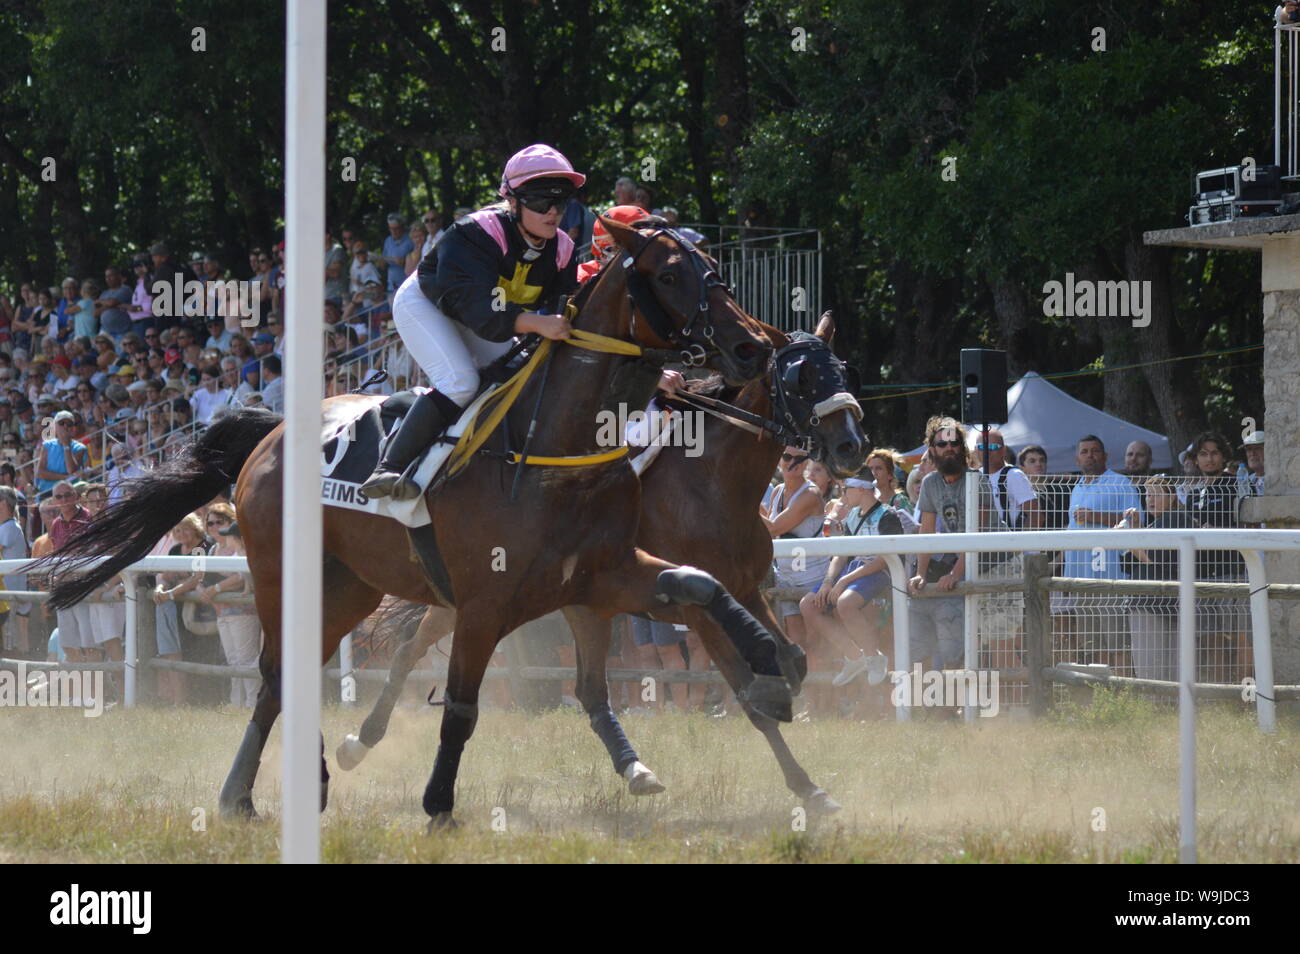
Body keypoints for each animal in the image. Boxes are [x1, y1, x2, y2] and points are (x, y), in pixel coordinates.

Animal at [41, 217, 789, 828]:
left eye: (714, 268)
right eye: (669, 274)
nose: (754, 348)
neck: (556, 442)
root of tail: (269, 432)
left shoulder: (603, 575)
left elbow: (701, 585)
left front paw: (774, 667)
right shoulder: (485, 602)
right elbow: (460, 706)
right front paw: (438, 804)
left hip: (351, 586)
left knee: (292, 675)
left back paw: (287, 785)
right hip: (283, 575)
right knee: (279, 675)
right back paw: (247, 795)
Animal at [336, 312, 867, 813]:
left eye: (843, 370)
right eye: (801, 378)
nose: (852, 446)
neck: (711, 481)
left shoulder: (747, 591)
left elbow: (792, 658)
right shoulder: (697, 610)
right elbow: (750, 692)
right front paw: (807, 787)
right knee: (409, 652)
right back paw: (358, 743)